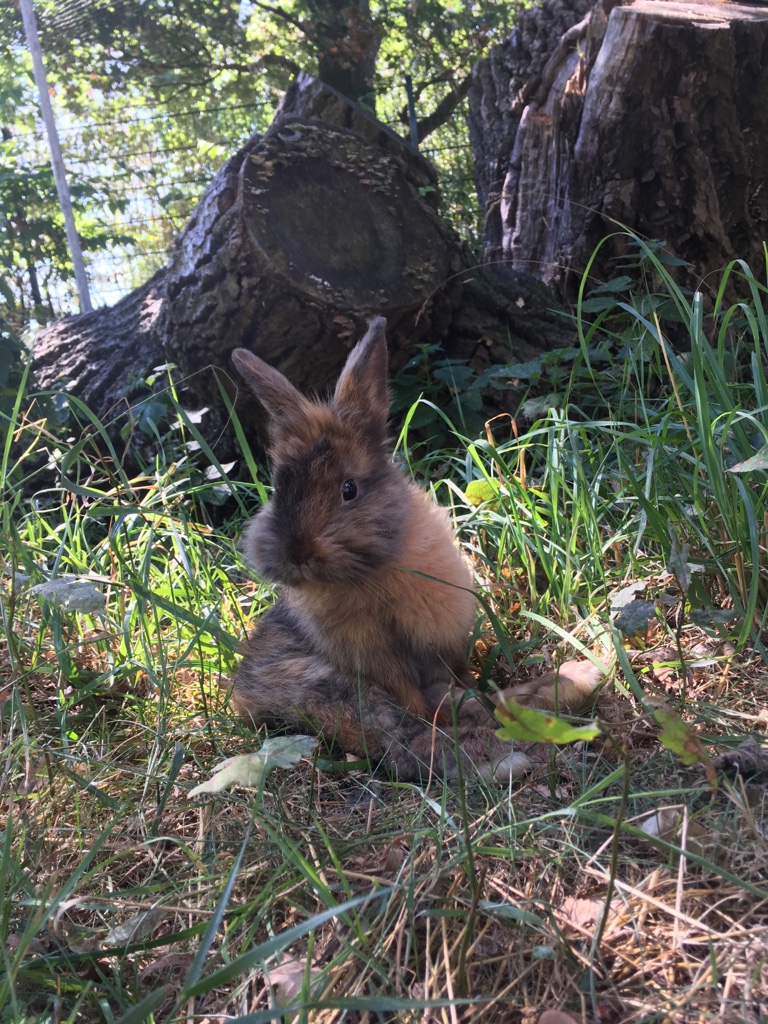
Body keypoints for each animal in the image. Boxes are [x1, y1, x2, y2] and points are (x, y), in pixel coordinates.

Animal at [231, 315, 606, 778]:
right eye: (280, 488)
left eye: (349, 489)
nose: (295, 554)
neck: (369, 573)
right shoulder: (376, 660)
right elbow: (419, 706)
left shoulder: (438, 639)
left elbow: (449, 686)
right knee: (407, 736)